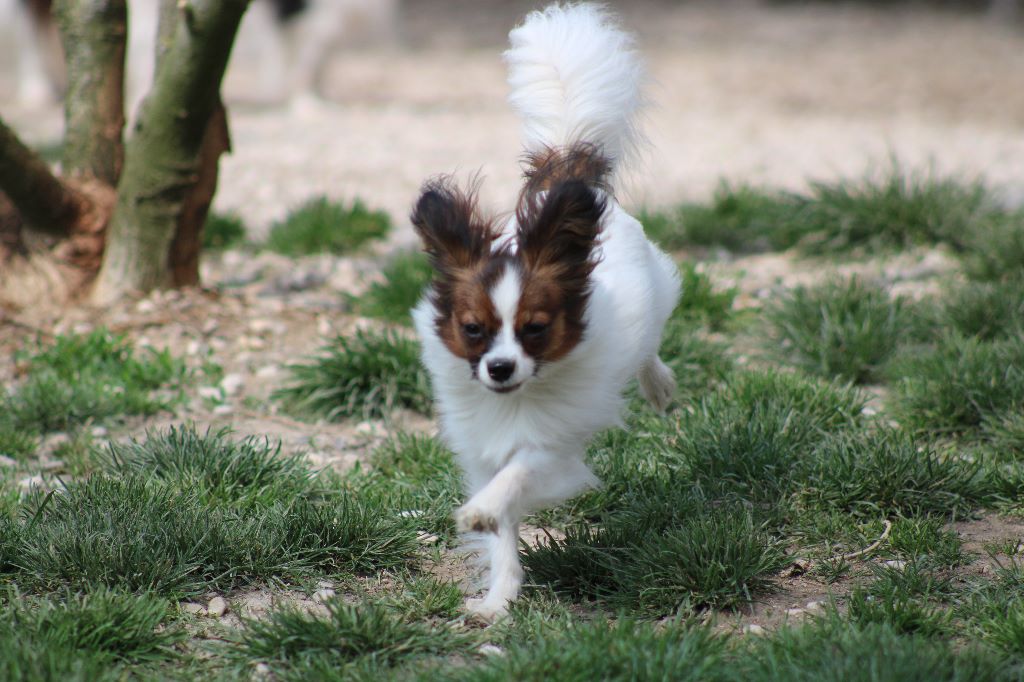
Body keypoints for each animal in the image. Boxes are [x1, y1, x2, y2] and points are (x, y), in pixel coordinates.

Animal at [407, 2, 679, 618]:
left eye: (534, 329)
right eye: (473, 330)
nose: (500, 368)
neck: (516, 399)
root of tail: (564, 174)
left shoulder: (554, 447)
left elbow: (518, 474)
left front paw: (484, 511)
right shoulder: (482, 447)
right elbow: (503, 530)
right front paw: (499, 597)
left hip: (653, 299)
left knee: (650, 346)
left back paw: (659, 386)